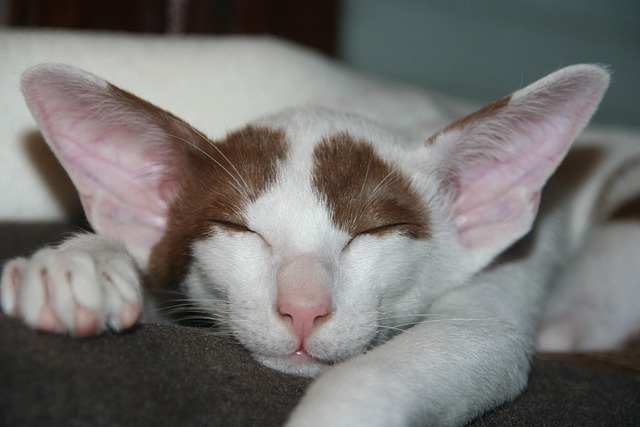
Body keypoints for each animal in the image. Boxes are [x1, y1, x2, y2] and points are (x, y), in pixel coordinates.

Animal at [1, 61, 640, 426]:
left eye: (373, 232)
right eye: (240, 230)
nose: (303, 309)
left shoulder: (501, 287)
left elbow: (397, 367)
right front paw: (77, 266)